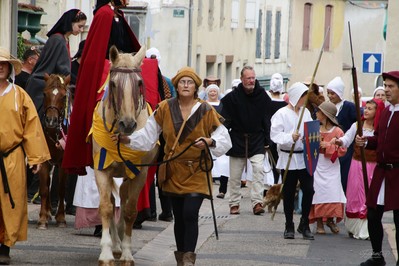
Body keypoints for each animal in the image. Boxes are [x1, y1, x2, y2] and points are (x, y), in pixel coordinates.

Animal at [91, 46, 159, 266]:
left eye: (139, 83)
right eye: (113, 84)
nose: (127, 124)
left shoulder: (139, 174)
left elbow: (129, 210)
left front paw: (127, 253)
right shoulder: (101, 170)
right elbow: (105, 207)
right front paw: (106, 253)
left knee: (123, 198)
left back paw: (120, 243)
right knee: (114, 202)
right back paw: (114, 245)